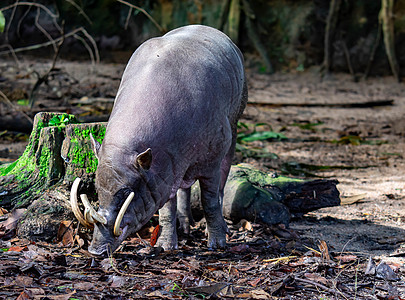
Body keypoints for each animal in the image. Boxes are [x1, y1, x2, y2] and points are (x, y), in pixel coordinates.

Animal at [70, 24, 246, 256]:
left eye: (127, 193)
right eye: (97, 190)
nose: (96, 250)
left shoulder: (210, 160)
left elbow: (209, 200)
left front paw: (217, 243)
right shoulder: (164, 172)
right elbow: (166, 209)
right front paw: (165, 245)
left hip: (235, 121)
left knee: (223, 180)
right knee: (184, 187)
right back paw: (185, 226)